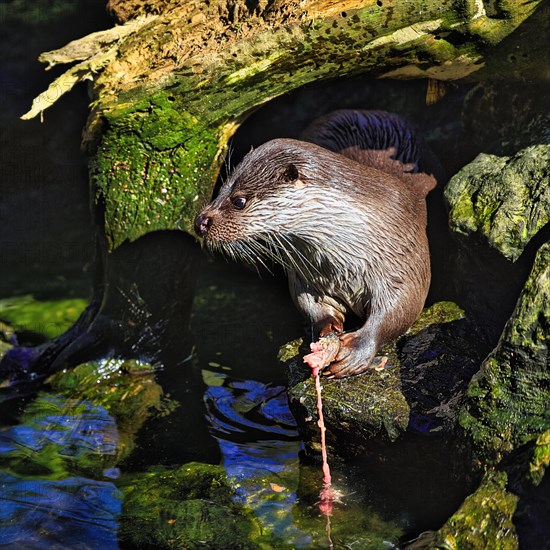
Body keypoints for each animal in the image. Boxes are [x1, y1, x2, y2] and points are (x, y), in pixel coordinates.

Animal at [194, 111, 440, 380]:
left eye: (239, 201)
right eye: (221, 189)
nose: (200, 221)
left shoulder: (402, 260)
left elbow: (399, 310)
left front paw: (357, 350)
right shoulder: (306, 273)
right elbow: (309, 304)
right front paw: (327, 329)